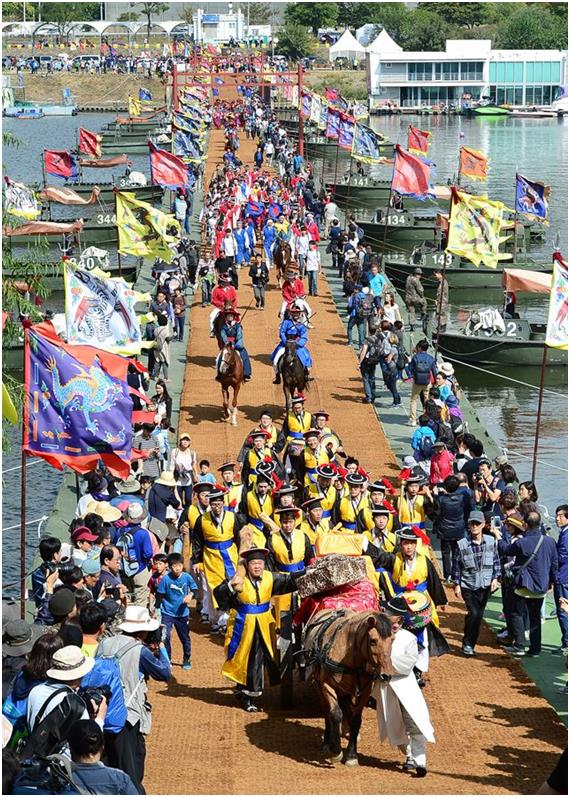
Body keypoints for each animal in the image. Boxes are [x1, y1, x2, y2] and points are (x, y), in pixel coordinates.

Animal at [304, 608, 392, 764]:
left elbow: (356, 719)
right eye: (373, 641)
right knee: (327, 711)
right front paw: (336, 751)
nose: (386, 675)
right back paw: (327, 743)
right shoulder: (326, 685)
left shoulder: (365, 691)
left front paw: (351, 755)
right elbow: (335, 714)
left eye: (393, 639)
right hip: (319, 685)